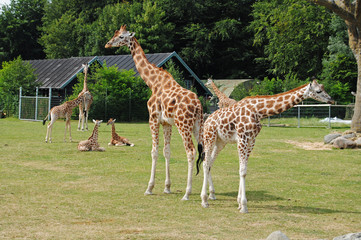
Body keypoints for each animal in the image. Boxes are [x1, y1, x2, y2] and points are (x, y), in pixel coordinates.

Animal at [105, 24, 204, 201]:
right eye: (115, 34)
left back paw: (187, 193)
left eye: (122, 36)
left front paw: (149, 188)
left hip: (184, 125)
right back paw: (208, 193)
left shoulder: (153, 119)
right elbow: (167, 151)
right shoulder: (166, 123)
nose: (108, 44)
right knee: (206, 151)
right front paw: (167, 187)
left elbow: (154, 152)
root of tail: (198, 105)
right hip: (197, 125)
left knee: (191, 151)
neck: (152, 82)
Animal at [198, 79, 334, 213]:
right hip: (209, 137)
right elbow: (242, 170)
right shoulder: (242, 138)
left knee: (209, 163)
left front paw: (240, 204)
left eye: (323, 87)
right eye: (319, 90)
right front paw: (244, 206)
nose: (331, 100)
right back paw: (204, 200)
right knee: (205, 163)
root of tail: (208, 120)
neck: (259, 111)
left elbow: (244, 170)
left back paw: (211, 195)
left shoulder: (251, 140)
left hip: (220, 142)